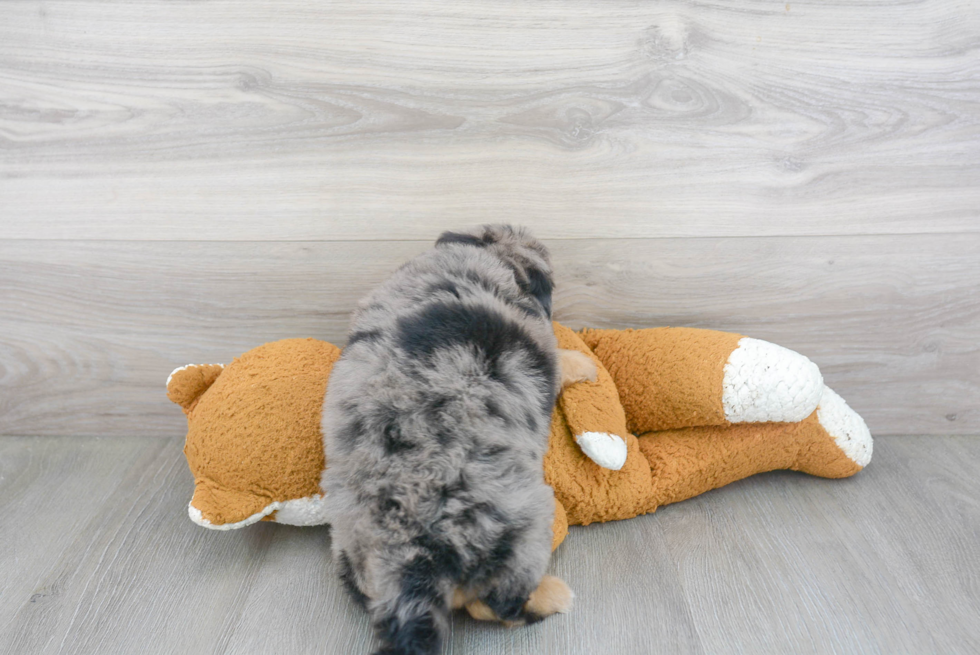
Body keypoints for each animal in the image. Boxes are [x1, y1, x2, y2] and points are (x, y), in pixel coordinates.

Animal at [326, 226, 592, 655]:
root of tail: (411, 563)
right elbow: (560, 361)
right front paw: (583, 364)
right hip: (524, 529)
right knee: (496, 604)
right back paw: (553, 596)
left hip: (349, 557)